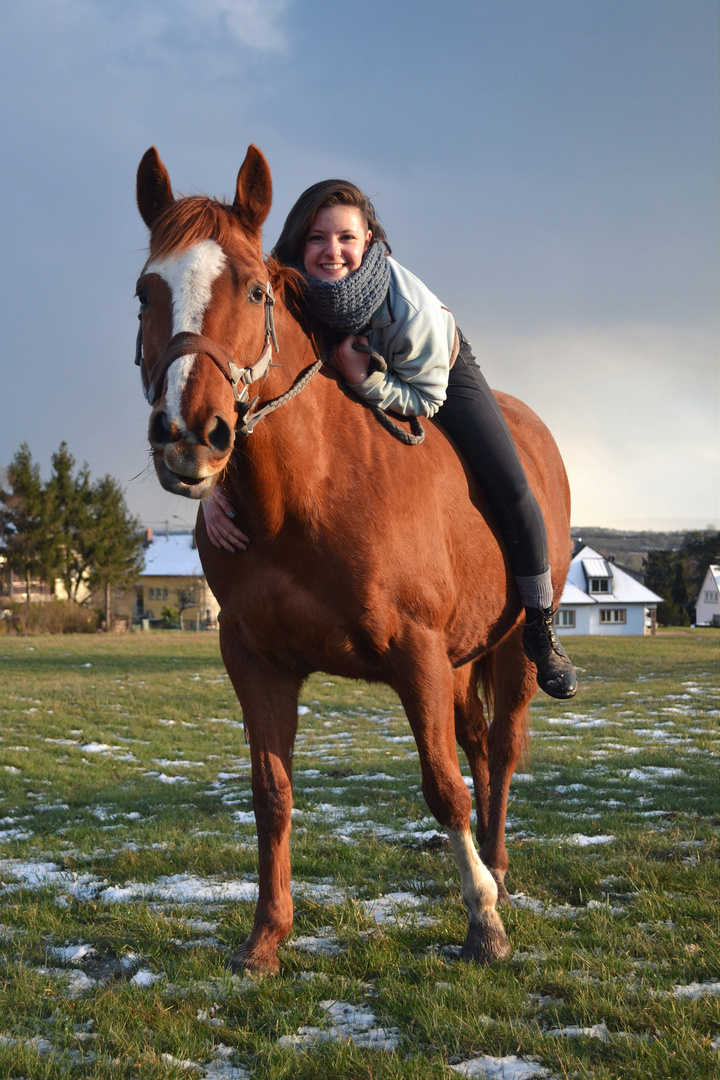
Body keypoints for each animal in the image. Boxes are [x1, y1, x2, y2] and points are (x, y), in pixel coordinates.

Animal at [136, 139, 574, 976]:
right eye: (146, 291)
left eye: (253, 290)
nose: (188, 436)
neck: (309, 491)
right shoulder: (258, 662)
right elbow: (271, 793)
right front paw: (265, 937)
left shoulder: (416, 655)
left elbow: (443, 786)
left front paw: (483, 923)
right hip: (462, 659)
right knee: (478, 745)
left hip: (509, 649)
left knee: (500, 752)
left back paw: (497, 871)